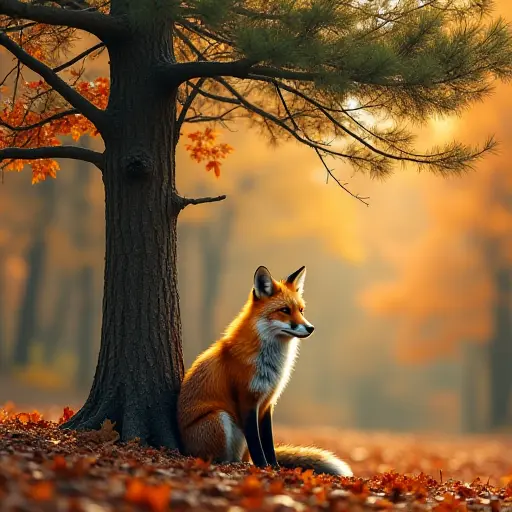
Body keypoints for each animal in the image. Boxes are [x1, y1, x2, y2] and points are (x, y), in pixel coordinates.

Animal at [177, 266, 352, 478]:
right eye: (285, 310)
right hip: (219, 417)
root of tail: (184, 448)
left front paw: (274, 467)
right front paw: (262, 467)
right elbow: (257, 443)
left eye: (301, 310)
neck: (270, 364)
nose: (311, 328)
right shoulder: (247, 400)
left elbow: (268, 442)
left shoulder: (268, 401)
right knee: (218, 457)